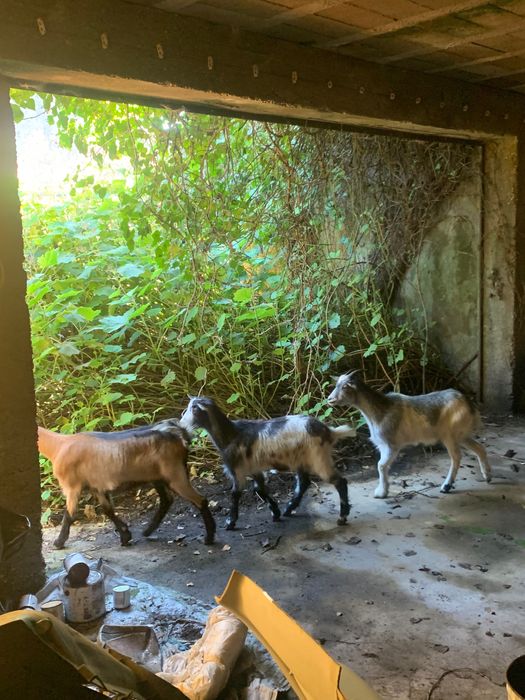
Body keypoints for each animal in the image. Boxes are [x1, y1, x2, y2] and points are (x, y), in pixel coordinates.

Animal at [37, 419, 216, 548]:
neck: (58, 446)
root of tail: (179, 433)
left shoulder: (72, 486)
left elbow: (69, 515)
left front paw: (58, 543)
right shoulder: (98, 488)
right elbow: (108, 510)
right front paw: (125, 536)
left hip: (176, 475)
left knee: (200, 500)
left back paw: (209, 537)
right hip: (158, 477)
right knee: (167, 500)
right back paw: (147, 531)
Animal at [179, 396, 355, 530]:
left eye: (193, 409)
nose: (181, 425)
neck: (231, 436)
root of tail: (328, 431)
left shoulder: (237, 470)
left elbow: (236, 494)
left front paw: (230, 522)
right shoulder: (254, 469)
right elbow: (260, 489)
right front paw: (275, 512)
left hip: (318, 458)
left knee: (339, 481)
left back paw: (342, 516)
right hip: (301, 460)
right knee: (304, 483)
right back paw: (288, 508)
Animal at [327, 370, 492, 498]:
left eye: (345, 386)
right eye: (336, 384)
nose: (329, 399)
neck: (381, 410)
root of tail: (468, 404)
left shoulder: (391, 445)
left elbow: (381, 466)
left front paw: (381, 492)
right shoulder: (383, 446)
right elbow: (382, 466)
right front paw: (383, 490)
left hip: (449, 435)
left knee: (456, 457)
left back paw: (446, 486)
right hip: (461, 435)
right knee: (479, 448)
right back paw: (487, 476)